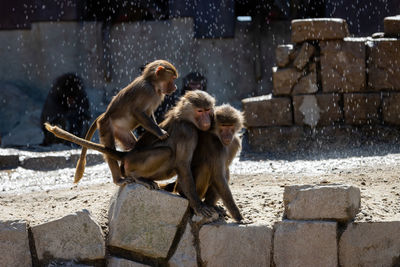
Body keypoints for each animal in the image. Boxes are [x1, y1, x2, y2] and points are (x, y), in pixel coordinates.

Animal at [45, 90, 217, 218]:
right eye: (200, 111)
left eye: (208, 110)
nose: (207, 121)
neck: (185, 117)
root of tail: (128, 154)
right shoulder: (187, 132)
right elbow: (183, 165)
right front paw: (198, 205)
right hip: (136, 162)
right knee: (166, 152)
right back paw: (137, 177)